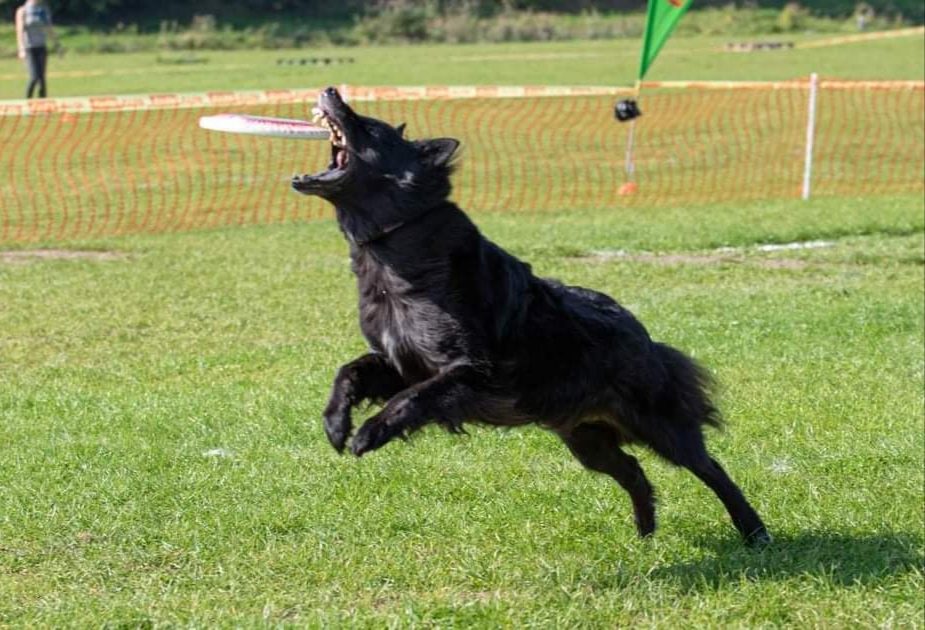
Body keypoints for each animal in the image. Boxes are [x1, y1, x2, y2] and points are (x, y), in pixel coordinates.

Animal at [292, 86, 768, 544]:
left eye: (369, 128)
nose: (331, 90)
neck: (393, 244)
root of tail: (642, 332)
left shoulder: (469, 370)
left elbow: (410, 399)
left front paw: (369, 433)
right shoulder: (403, 362)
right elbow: (350, 371)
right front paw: (335, 423)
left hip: (657, 424)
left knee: (709, 467)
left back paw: (754, 531)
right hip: (585, 438)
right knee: (633, 470)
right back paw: (645, 532)